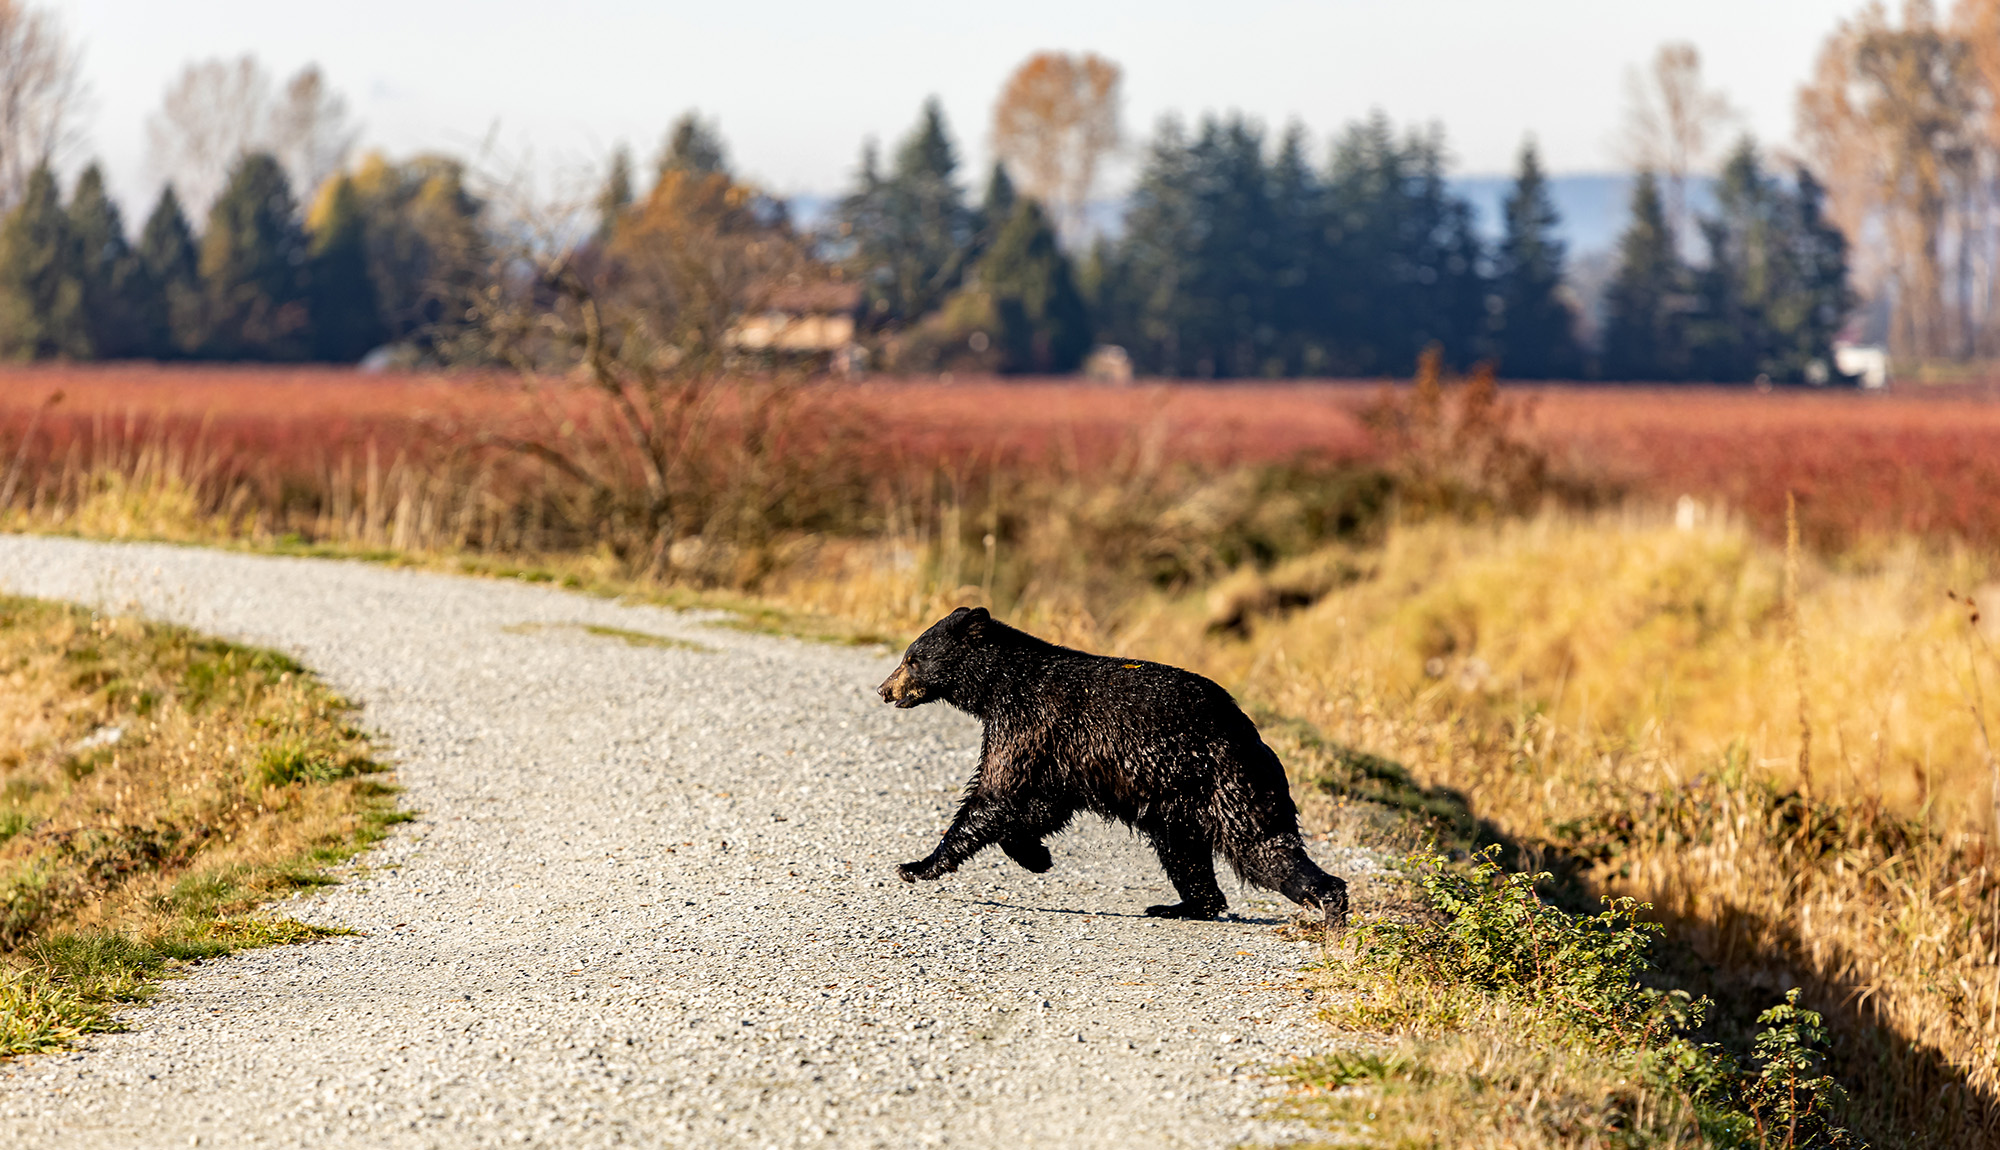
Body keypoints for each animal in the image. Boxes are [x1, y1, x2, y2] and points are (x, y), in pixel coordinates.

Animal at [876, 605, 1348, 923]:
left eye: (912, 658)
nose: (883, 689)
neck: (999, 688)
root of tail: (1256, 739)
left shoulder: (1031, 724)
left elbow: (996, 795)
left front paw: (916, 865)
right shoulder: (1056, 752)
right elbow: (1038, 805)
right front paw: (1037, 855)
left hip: (1229, 786)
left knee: (1264, 849)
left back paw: (1332, 909)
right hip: (1177, 807)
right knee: (1187, 856)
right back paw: (1181, 905)